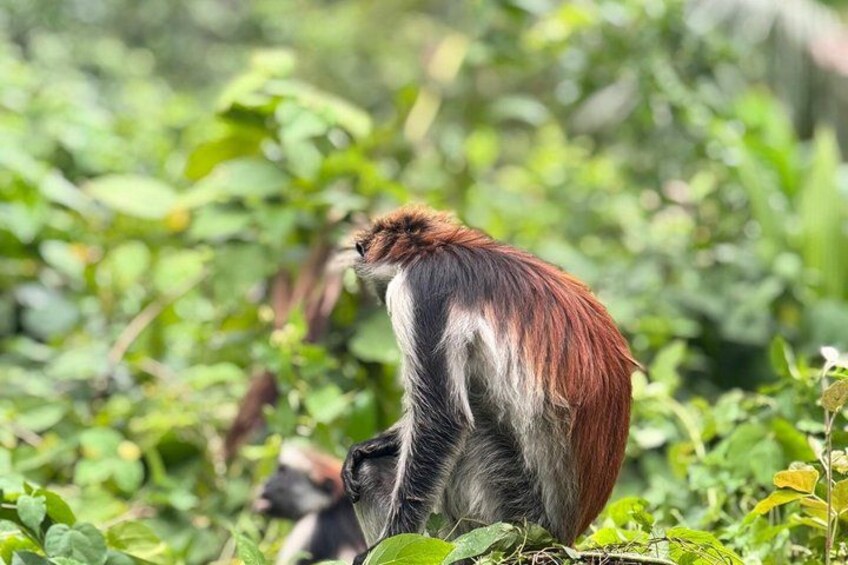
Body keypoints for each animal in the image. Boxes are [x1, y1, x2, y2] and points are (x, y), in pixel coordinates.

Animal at [341, 206, 637, 563]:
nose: (376, 296)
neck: (437, 247)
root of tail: (566, 535)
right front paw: (375, 444)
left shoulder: (423, 290)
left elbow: (442, 419)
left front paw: (386, 547)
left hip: (511, 515)